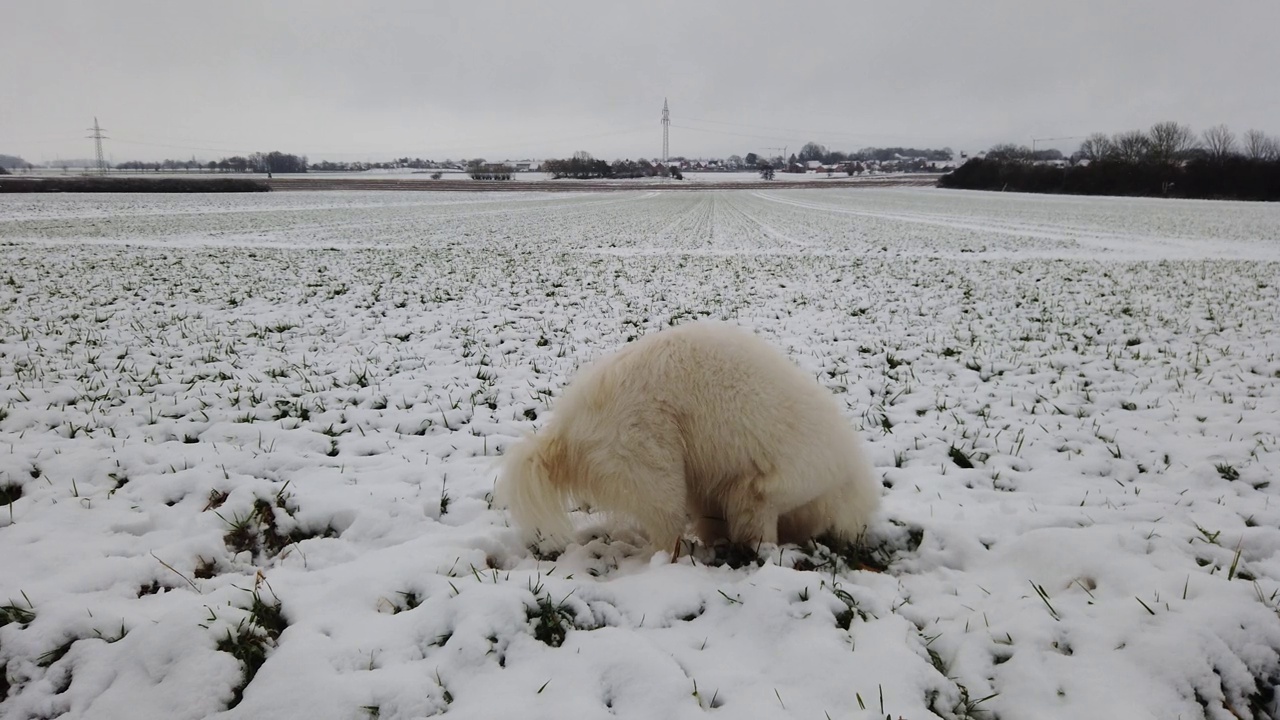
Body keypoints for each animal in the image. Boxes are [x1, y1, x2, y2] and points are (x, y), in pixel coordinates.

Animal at [496, 320, 880, 556]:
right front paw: (766, 553)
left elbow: (714, 516)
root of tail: (565, 428)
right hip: (656, 471)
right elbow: (759, 522)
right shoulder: (763, 488)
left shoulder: (712, 484)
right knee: (665, 536)